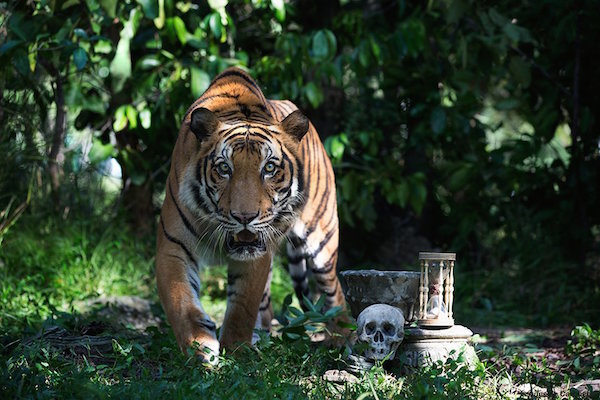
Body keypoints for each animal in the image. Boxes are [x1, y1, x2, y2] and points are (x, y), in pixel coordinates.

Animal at [155, 67, 346, 360]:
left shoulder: (257, 255)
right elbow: (180, 301)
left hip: (321, 240)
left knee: (335, 292)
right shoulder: (172, 246)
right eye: (224, 168)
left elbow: (243, 306)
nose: (244, 217)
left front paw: (236, 350)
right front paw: (200, 346)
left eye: (269, 168)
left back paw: (346, 339)